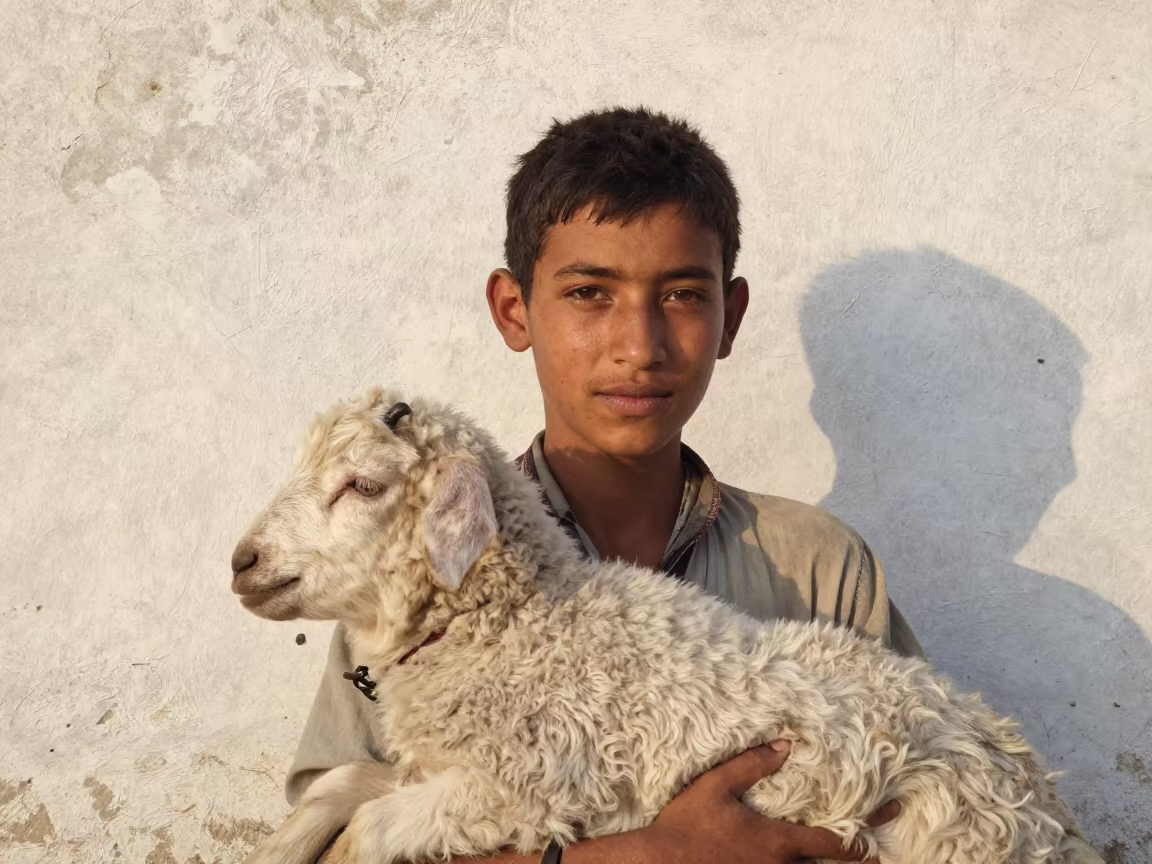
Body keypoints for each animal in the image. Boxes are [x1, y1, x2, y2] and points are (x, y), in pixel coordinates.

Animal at [231, 386, 1090, 864]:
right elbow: (343, 783)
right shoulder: (444, 766)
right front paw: (282, 846)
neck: (517, 627)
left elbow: (369, 829)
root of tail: (1043, 805)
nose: (243, 562)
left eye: (363, 485)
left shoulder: (529, 791)